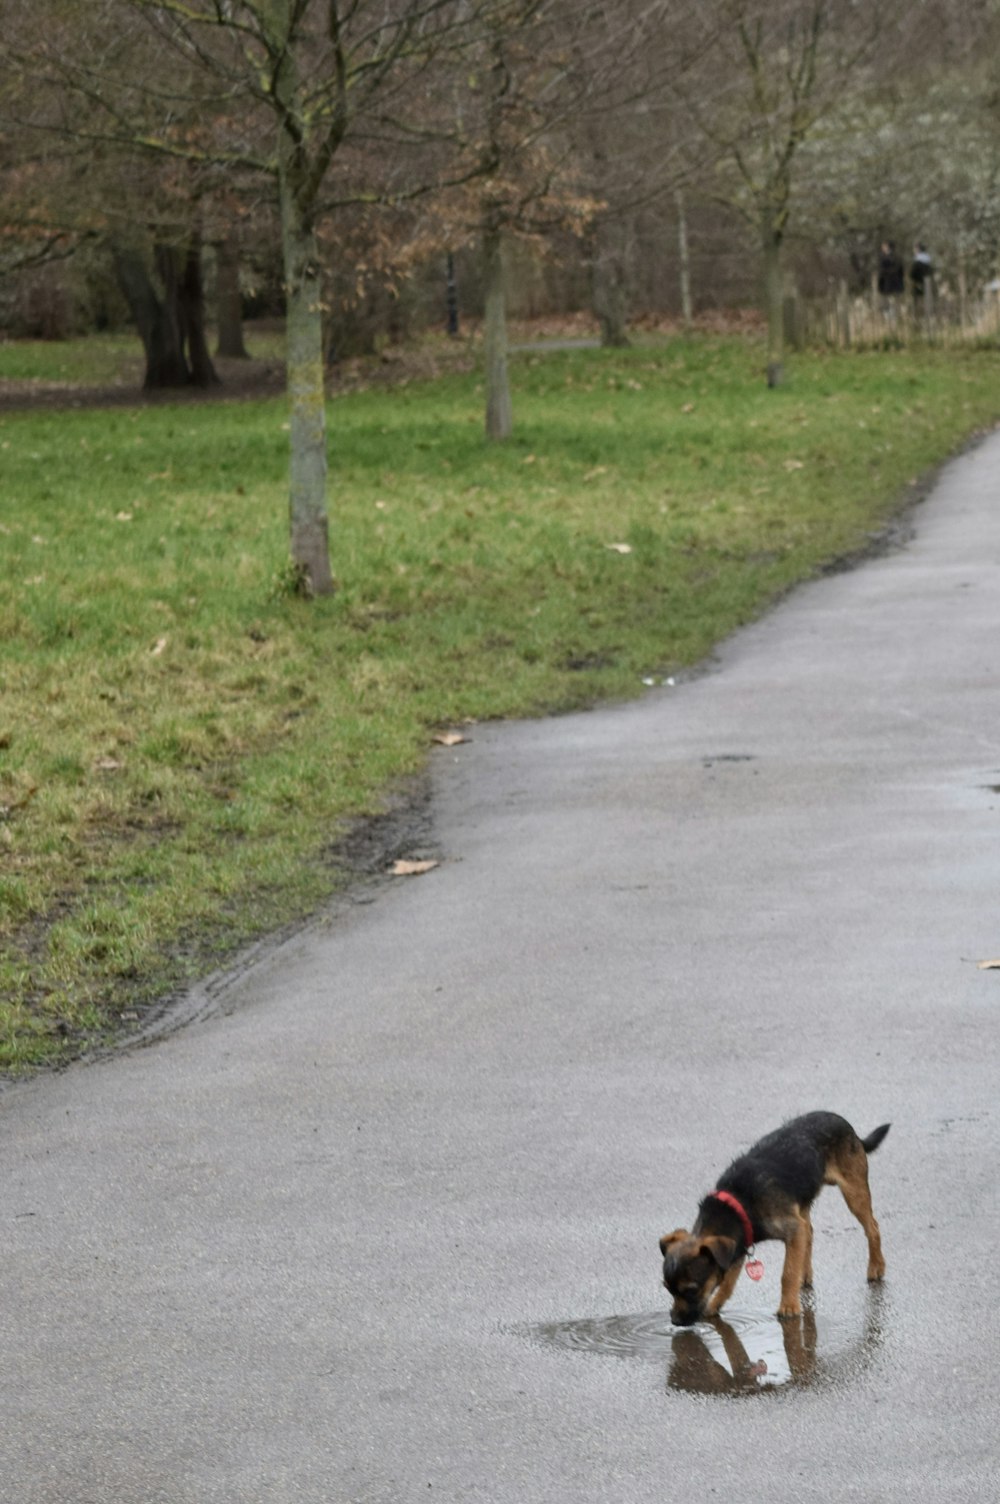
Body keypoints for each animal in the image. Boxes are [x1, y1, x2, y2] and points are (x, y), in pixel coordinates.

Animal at [658, 1112, 884, 1323]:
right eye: (668, 1289)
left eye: (691, 1290)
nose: (675, 1321)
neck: (740, 1202)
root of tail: (848, 1126)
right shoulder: (739, 1241)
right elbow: (728, 1282)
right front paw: (714, 1305)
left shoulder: (790, 1229)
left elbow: (787, 1273)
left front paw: (789, 1306)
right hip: (802, 1202)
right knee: (809, 1231)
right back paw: (805, 1274)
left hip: (853, 1191)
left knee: (872, 1227)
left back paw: (876, 1267)